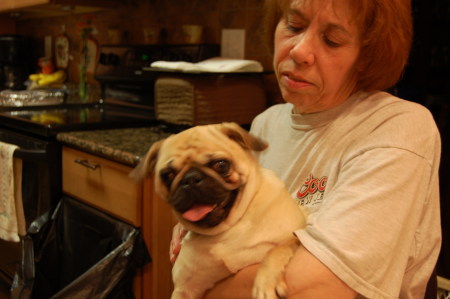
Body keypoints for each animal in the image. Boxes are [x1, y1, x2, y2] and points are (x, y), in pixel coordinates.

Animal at [128, 122, 308, 299]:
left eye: (221, 165)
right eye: (167, 175)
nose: (190, 179)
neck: (230, 227)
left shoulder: (294, 240)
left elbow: (276, 250)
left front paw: (266, 283)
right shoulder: (185, 289)